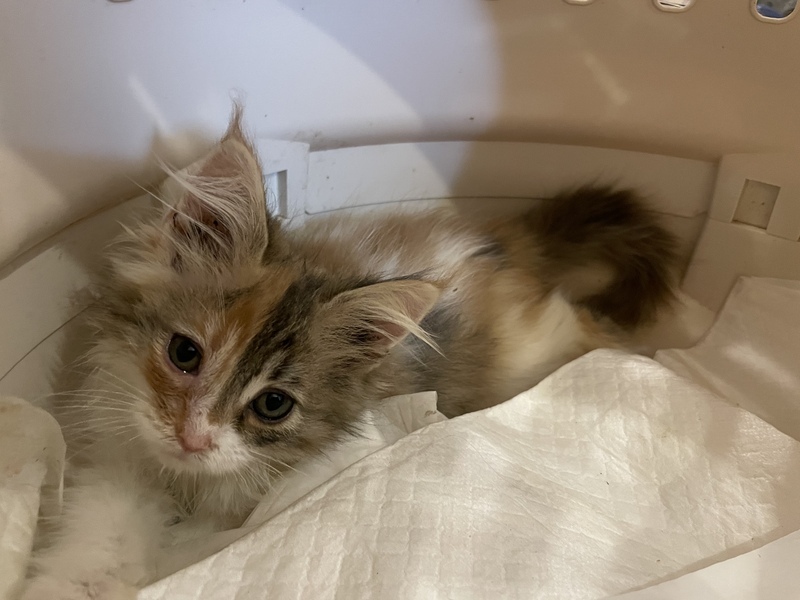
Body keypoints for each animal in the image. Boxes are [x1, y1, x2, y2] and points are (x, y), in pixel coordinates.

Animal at [22, 108, 677, 599]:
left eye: (274, 405)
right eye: (185, 353)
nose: (193, 437)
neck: (184, 482)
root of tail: (501, 239)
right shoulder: (119, 461)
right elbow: (100, 538)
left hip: (539, 345)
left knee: (587, 325)